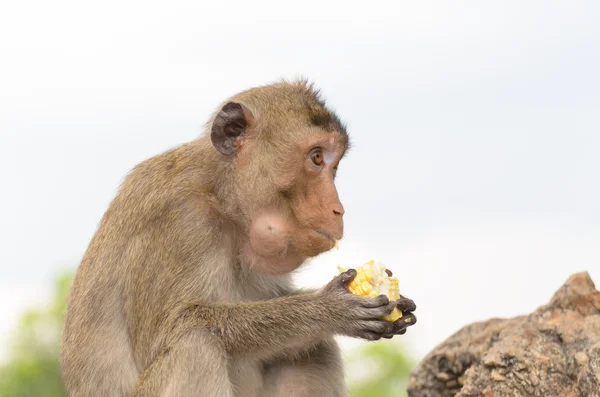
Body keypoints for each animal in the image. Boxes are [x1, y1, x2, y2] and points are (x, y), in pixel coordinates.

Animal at [62, 80, 418, 396]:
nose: (338, 209)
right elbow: (174, 328)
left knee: (314, 348)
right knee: (195, 345)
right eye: (317, 157)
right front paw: (325, 309)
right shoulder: (178, 220)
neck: (220, 196)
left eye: (335, 165)